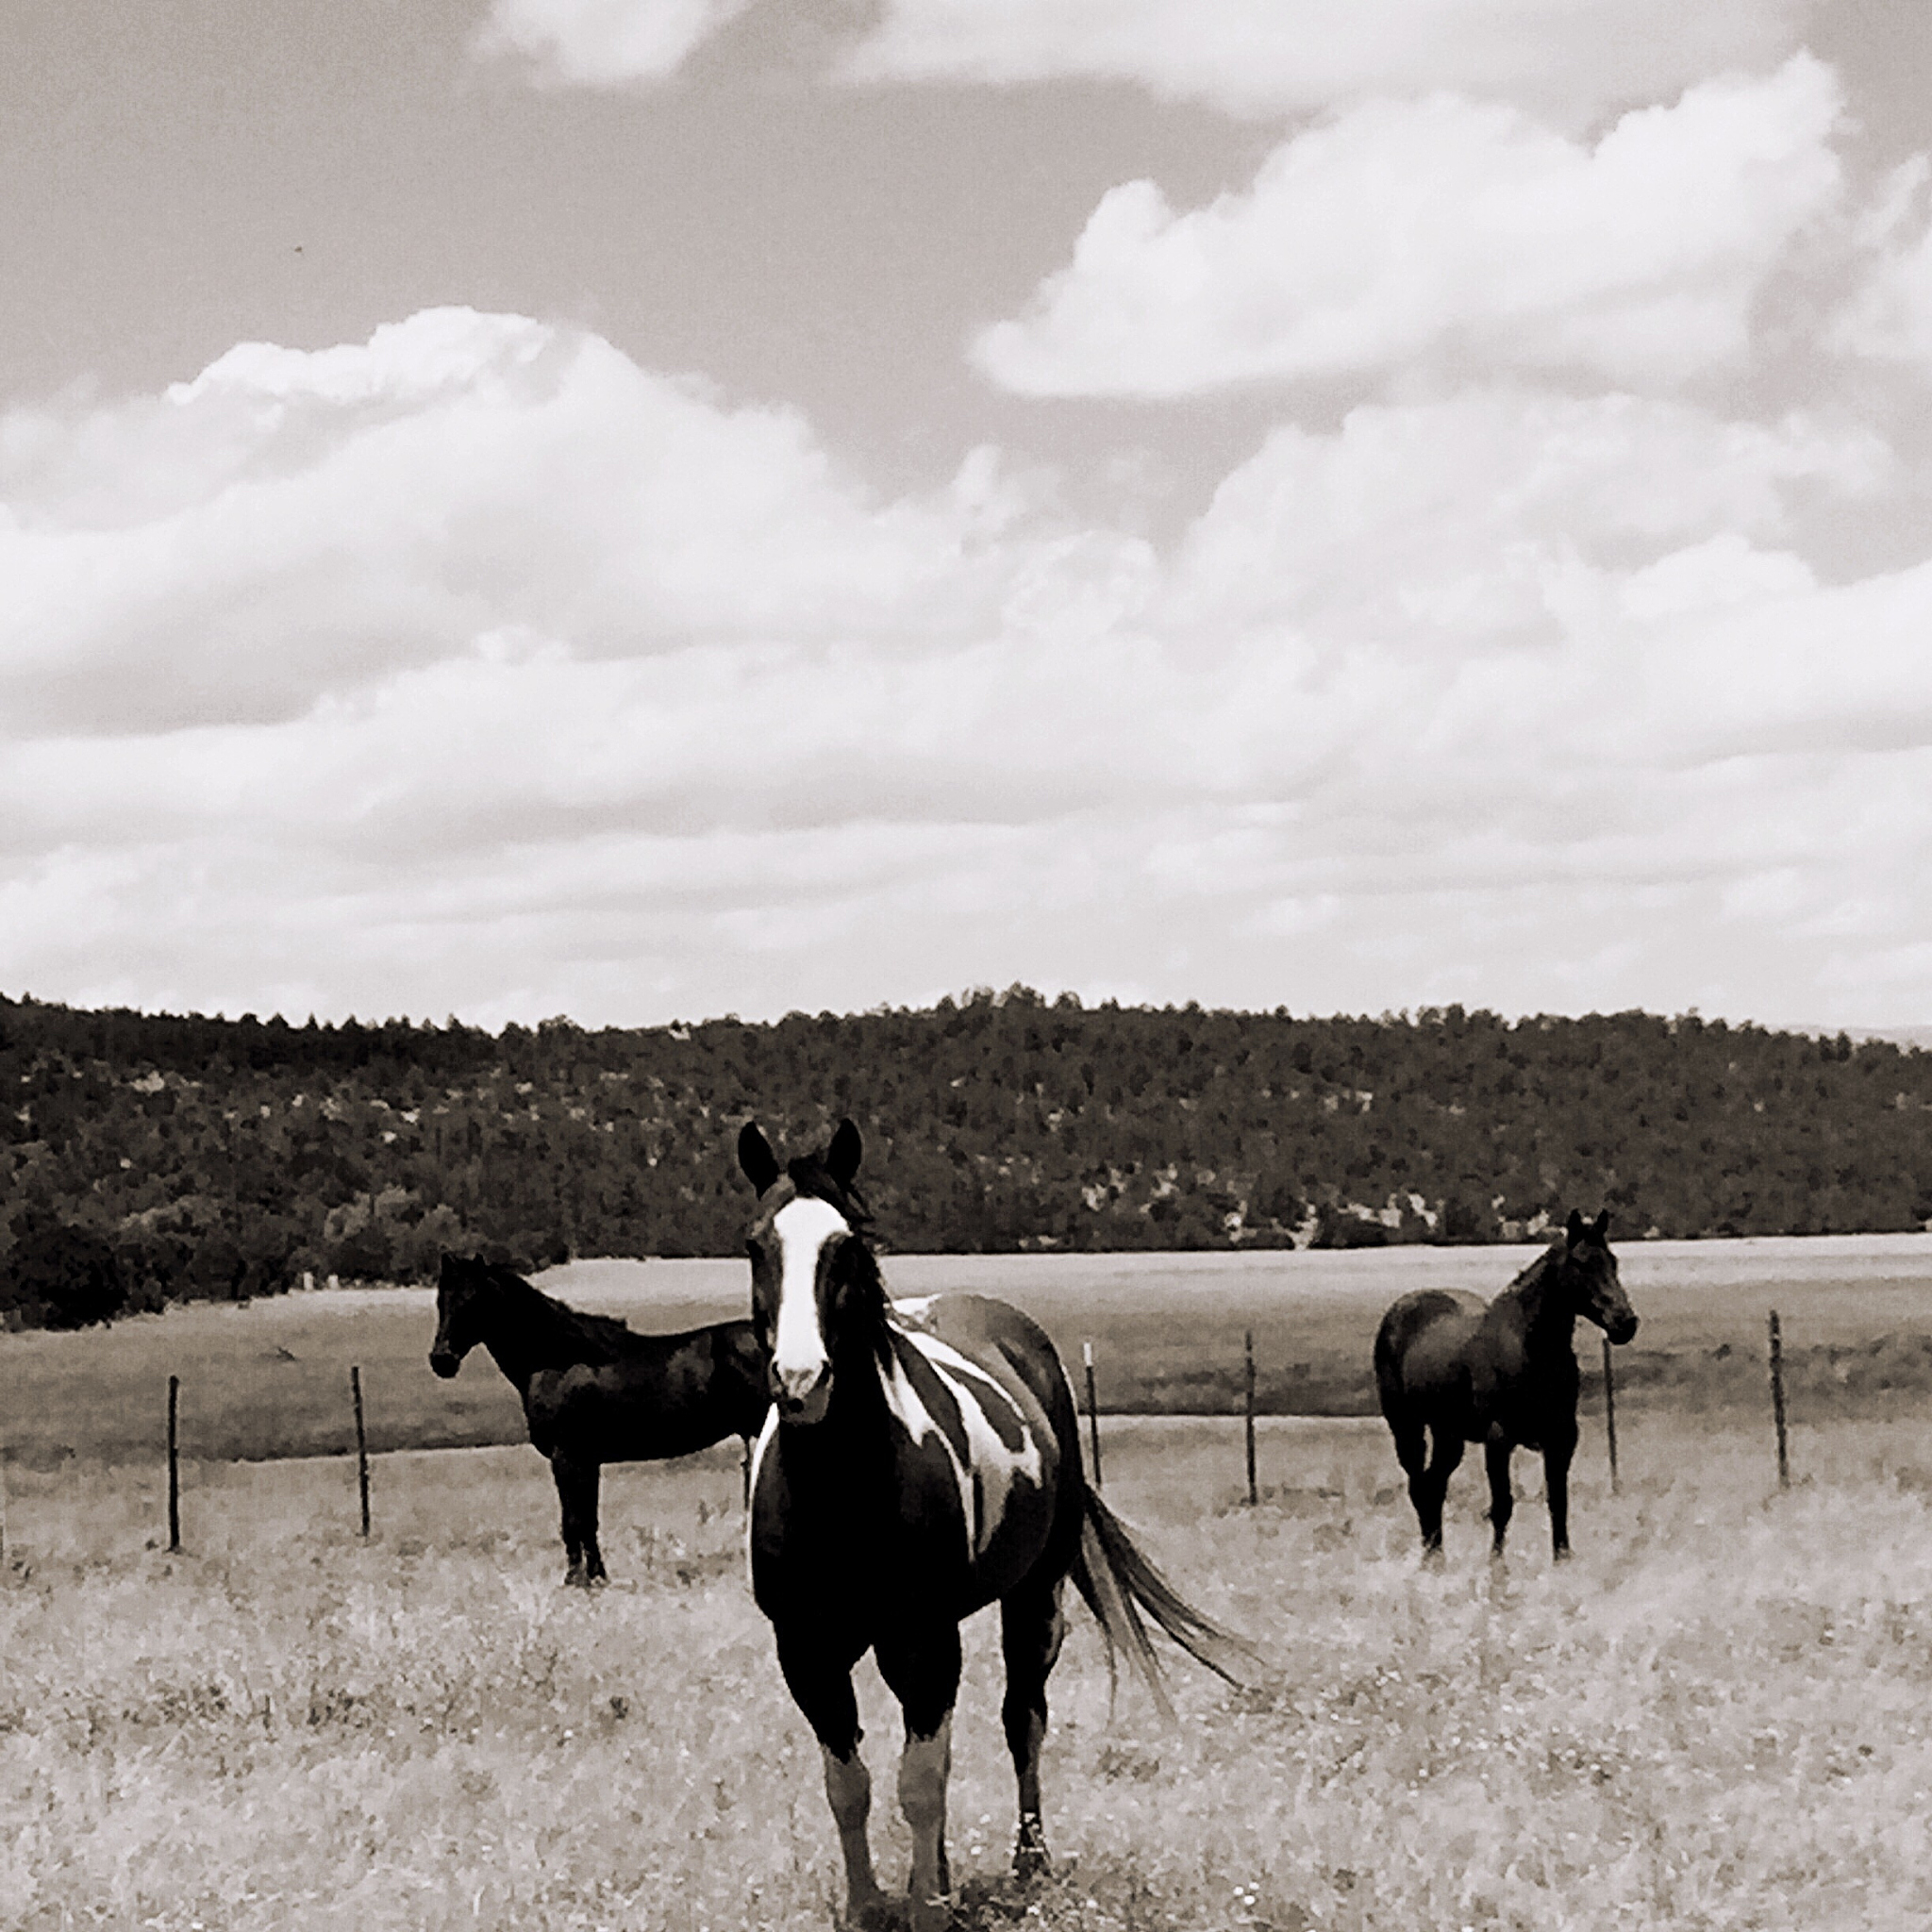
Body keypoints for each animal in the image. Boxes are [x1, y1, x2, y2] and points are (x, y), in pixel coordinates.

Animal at [428, 1253, 769, 1586]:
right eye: (441, 1300)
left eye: (473, 1300)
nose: (441, 1360)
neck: (558, 1361)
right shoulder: (587, 1460)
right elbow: (588, 1519)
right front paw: (597, 1576)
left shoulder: (566, 1456)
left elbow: (572, 1520)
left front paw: (574, 1579)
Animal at [736, 1119, 1255, 1932]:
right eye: (757, 1245)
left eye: (846, 1247)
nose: (800, 1379)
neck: (841, 1492)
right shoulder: (807, 1651)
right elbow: (850, 1784)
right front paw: (870, 1904)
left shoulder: (923, 1637)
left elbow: (922, 1779)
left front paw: (928, 1909)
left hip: (1031, 1599)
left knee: (1022, 1720)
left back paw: (1028, 1862)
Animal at [1373, 1209, 1638, 1562]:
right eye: (1581, 1263)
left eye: (1613, 1261)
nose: (1625, 1322)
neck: (1531, 1350)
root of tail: (1399, 1311)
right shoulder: (1498, 1438)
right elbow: (1502, 1507)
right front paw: (1497, 1567)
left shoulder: (1562, 1438)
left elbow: (1559, 1503)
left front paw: (1562, 1561)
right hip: (1407, 1427)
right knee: (1418, 1486)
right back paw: (1431, 1559)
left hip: (1449, 1434)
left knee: (1434, 1487)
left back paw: (1438, 1557)